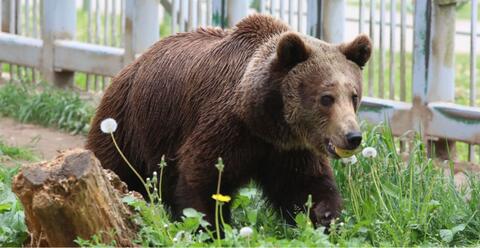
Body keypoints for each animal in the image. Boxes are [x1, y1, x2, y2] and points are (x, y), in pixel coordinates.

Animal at [86, 13, 372, 227]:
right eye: (326, 98)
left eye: (354, 95)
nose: (352, 136)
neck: (263, 119)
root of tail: (132, 64)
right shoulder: (225, 127)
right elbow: (203, 179)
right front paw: (213, 226)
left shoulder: (288, 149)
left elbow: (305, 185)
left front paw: (325, 217)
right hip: (131, 123)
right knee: (117, 166)